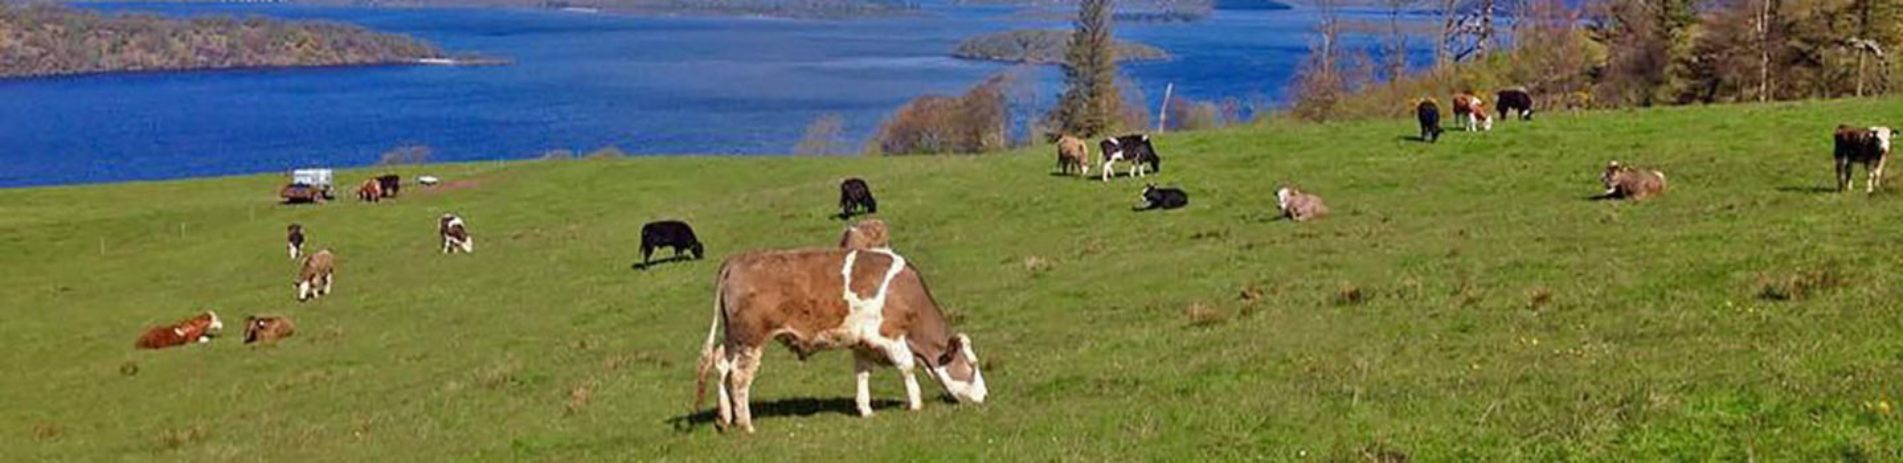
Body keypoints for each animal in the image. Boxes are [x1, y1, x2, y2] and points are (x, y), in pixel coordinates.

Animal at [700, 247, 997, 432]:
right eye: (971, 366)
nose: (985, 396)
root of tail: (737, 260)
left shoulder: (862, 342)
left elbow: (862, 373)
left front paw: (865, 409)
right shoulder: (889, 334)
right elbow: (907, 367)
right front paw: (915, 404)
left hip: (734, 338)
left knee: (722, 368)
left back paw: (725, 418)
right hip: (751, 339)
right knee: (740, 379)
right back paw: (746, 423)